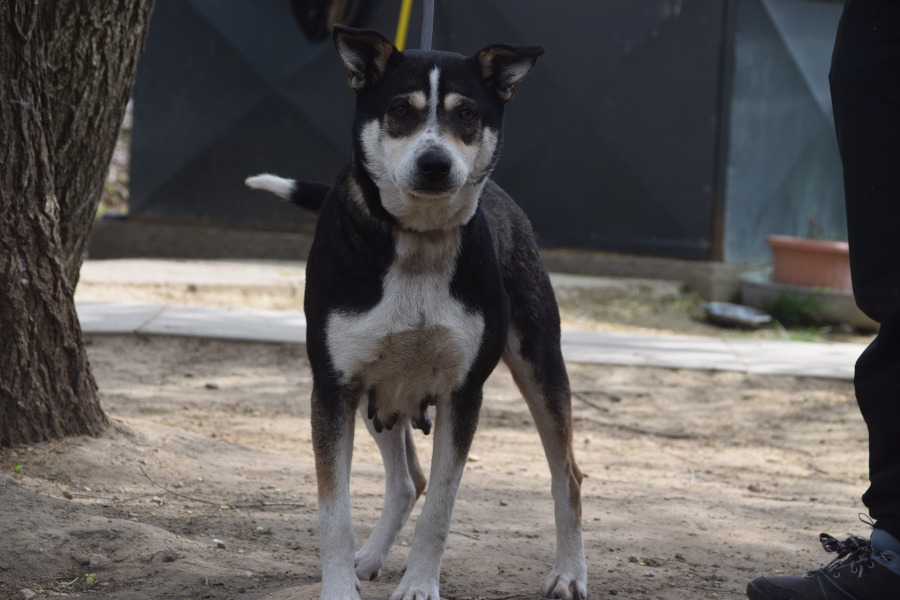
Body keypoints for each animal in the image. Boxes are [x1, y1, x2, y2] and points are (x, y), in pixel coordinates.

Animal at [246, 24, 587, 600]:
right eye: (401, 110)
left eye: (467, 114)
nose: (435, 163)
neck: (418, 243)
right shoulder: (335, 387)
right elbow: (334, 510)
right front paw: (340, 586)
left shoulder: (463, 393)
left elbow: (442, 508)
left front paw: (420, 584)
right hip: (379, 395)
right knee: (408, 481)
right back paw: (368, 559)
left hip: (540, 365)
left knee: (567, 474)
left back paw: (569, 573)